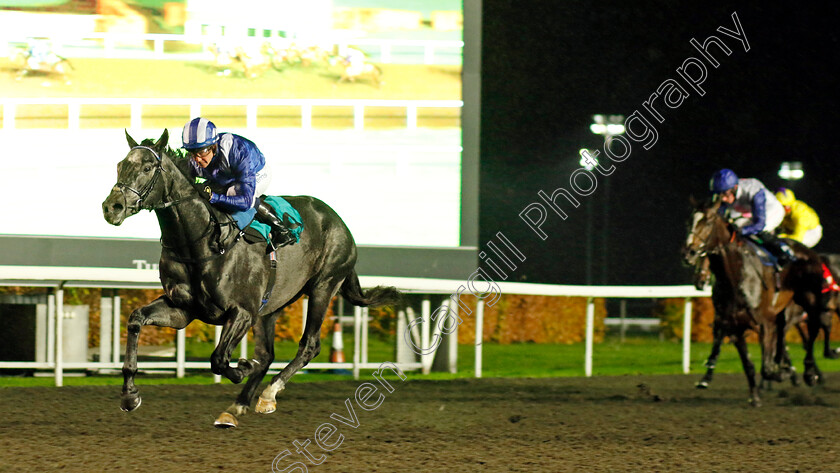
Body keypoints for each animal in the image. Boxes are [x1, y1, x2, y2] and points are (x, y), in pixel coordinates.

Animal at [100, 129, 402, 428]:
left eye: (147, 168)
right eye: (120, 165)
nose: (112, 207)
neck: (201, 243)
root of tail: (338, 221)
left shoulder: (242, 312)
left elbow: (219, 359)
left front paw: (242, 367)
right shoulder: (182, 310)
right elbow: (136, 319)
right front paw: (129, 395)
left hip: (323, 286)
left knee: (309, 346)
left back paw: (268, 394)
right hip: (271, 305)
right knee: (267, 354)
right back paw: (237, 406)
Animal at [684, 197, 828, 404]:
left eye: (709, 222)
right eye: (689, 221)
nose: (689, 253)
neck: (736, 277)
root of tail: (809, 252)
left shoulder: (764, 324)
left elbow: (766, 368)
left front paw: (781, 373)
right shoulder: (733, 325)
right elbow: (748, 364)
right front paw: (754, 396)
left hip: (808, 302)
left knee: (813, 330)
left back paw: (809, 372)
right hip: (785, 313)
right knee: (784, 336)